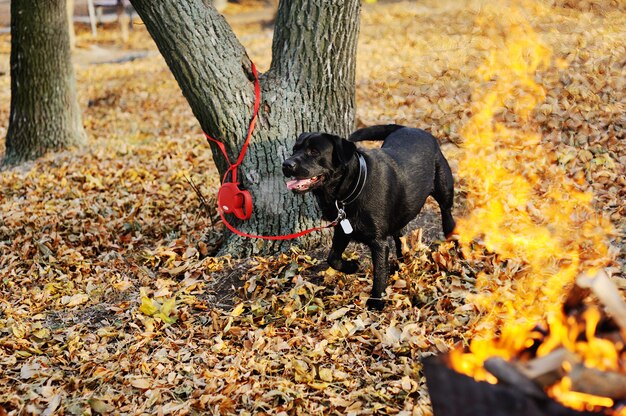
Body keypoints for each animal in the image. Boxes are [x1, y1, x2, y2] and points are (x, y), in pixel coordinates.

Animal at [282, 123, 454, 308]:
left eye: (314, 151)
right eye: (295, 149)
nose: (286, 164)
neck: (353, 188)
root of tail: (411, 128)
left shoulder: (378, 242)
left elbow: (379, 272)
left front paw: (376, 301)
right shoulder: (342, 230)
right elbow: (332, 258)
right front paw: (352, 266)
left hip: (444, 195)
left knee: (447, 217)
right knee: (399, 237)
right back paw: (400, 263)